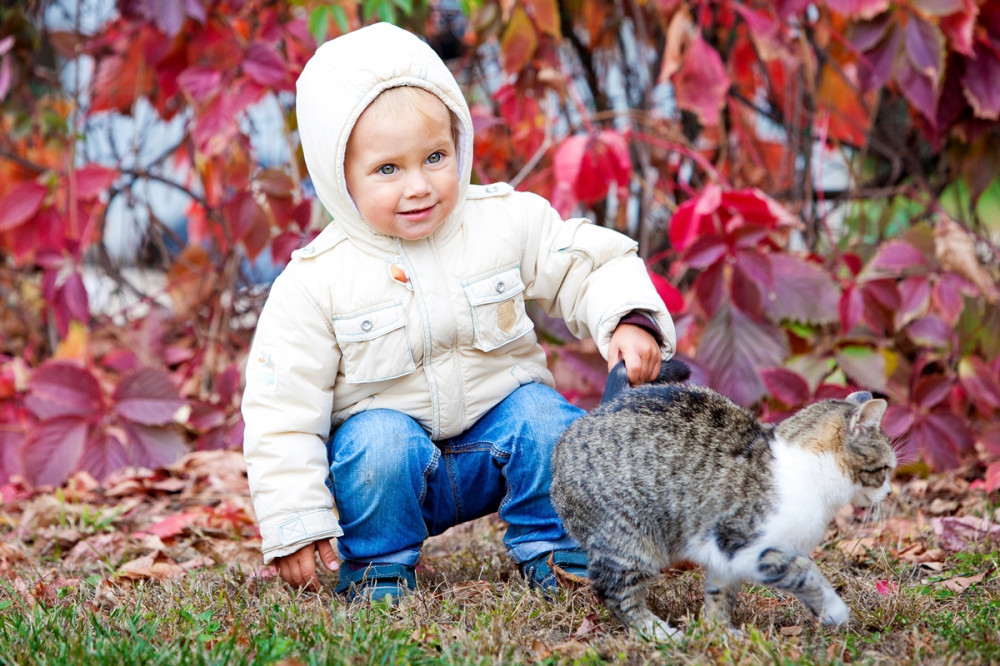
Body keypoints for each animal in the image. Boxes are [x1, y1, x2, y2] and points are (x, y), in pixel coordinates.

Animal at [552, 358, 896, 640]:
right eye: (886, 469)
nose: (890, 492)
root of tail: (593, 414)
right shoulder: (743, 544)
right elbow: (803, 572)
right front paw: (834, 609)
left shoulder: (721, 556)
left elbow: (721, 594)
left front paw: (719, 631)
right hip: (628, 540)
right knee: (613, 589)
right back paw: (656, 632)